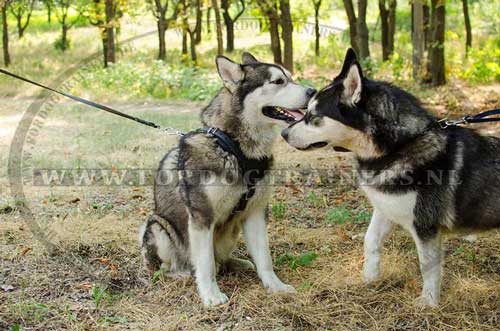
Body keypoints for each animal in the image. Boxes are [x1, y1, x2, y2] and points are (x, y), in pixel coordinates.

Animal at [139, 53, 314, 308]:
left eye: (290, 77)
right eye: (278, 81)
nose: (313, 91)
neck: (235, 148)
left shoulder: (255, 213)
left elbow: (264, 258)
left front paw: (274, 285)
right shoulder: (202, 217)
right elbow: (205, 264)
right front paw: (210, 295)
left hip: (232, 230)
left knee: (221, 260)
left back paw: (238, 262)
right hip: (157, 226)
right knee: (168, 266)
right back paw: (182, 273)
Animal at [284, 48, 500, 308]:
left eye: (313, 115)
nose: (283, 133)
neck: (399, 147)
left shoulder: (425, 226)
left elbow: (427, 266)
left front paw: (429, 303)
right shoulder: (385, 209)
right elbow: (370, 241)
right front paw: (369, 279)